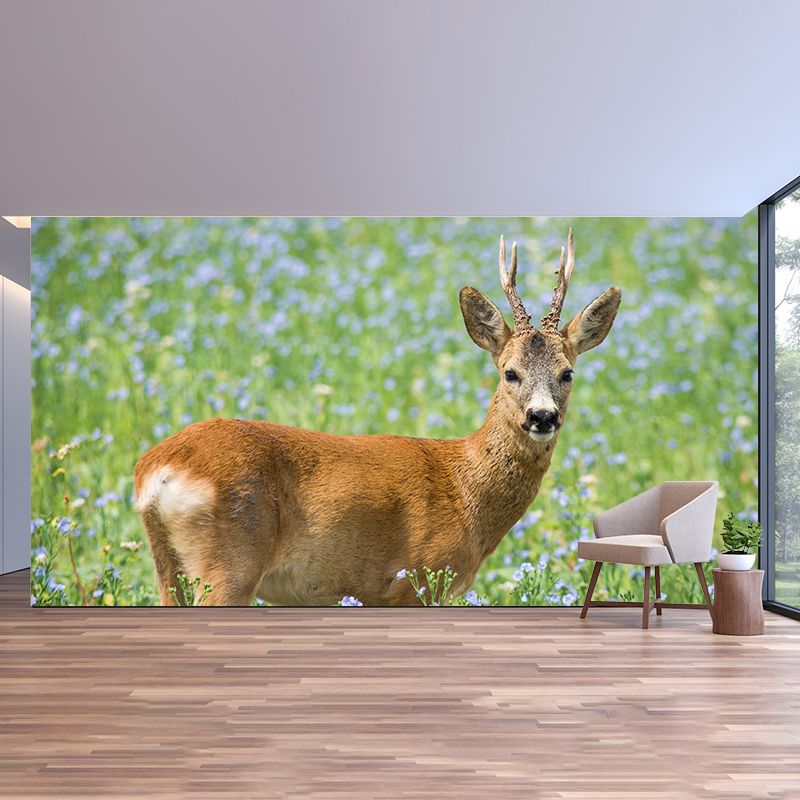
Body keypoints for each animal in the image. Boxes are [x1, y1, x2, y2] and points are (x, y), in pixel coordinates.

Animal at [133, 230, 621, 606]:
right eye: (510, 372)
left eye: (567, 373)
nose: (542, 416)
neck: (466, 489)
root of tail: (157, 471)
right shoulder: (414, 579)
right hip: (229, 563)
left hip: (169, 568)